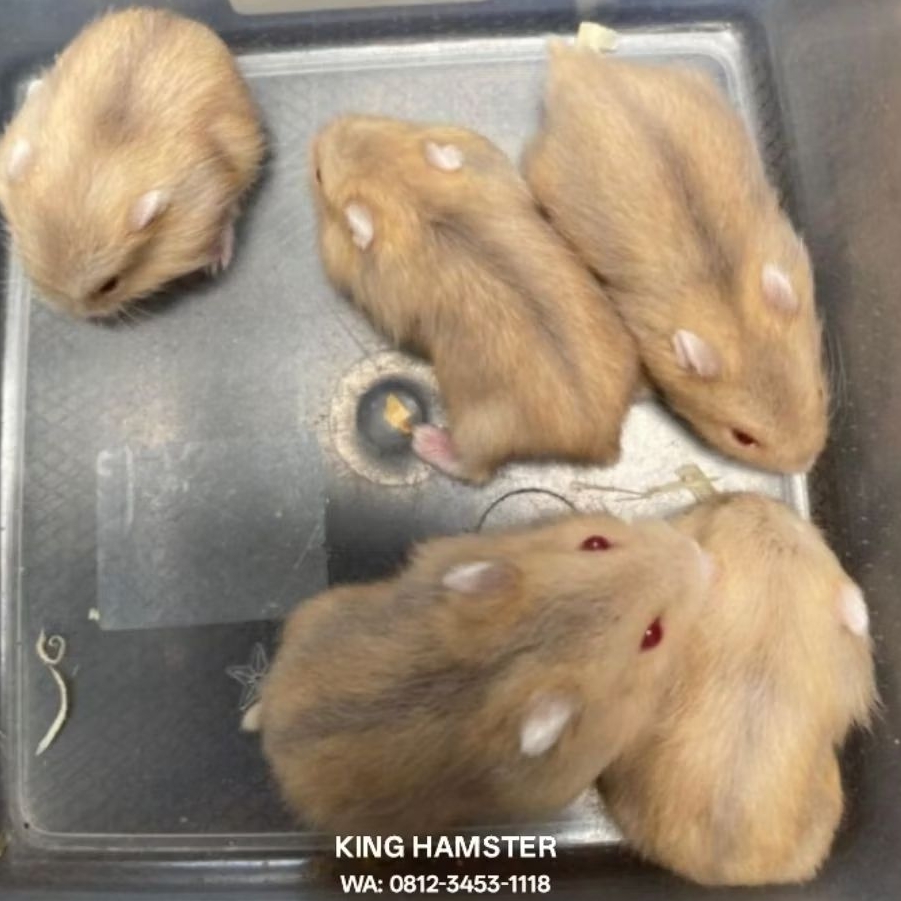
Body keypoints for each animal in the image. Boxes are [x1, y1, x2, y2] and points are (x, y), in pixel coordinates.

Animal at [311, 115, 639, 483]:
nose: (322, 130)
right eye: (385, 121)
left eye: (319, 175)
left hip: (481, 431)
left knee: (473, 468)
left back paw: (426, 439)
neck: (418, 202)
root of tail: (601, 439)